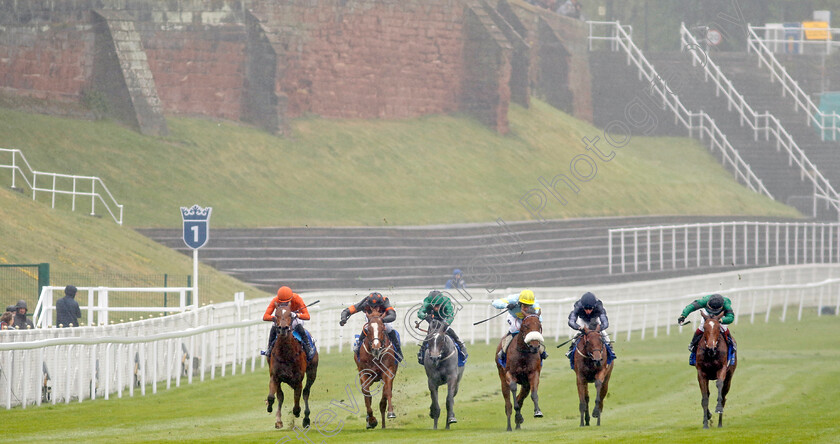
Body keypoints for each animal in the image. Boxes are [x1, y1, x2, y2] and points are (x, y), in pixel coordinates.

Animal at [266, 302, 318, 430]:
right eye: (276, 314)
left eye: (290, 314)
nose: (283, 328)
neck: (286, 353)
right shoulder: (274, 376)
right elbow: (273, 396)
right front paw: (270, 408)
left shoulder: (298, 379)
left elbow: (297, 400)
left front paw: (298, 412)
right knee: (280, 396)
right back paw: (278, 419)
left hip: (312, 372)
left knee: (306, 392)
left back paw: (306, 419)